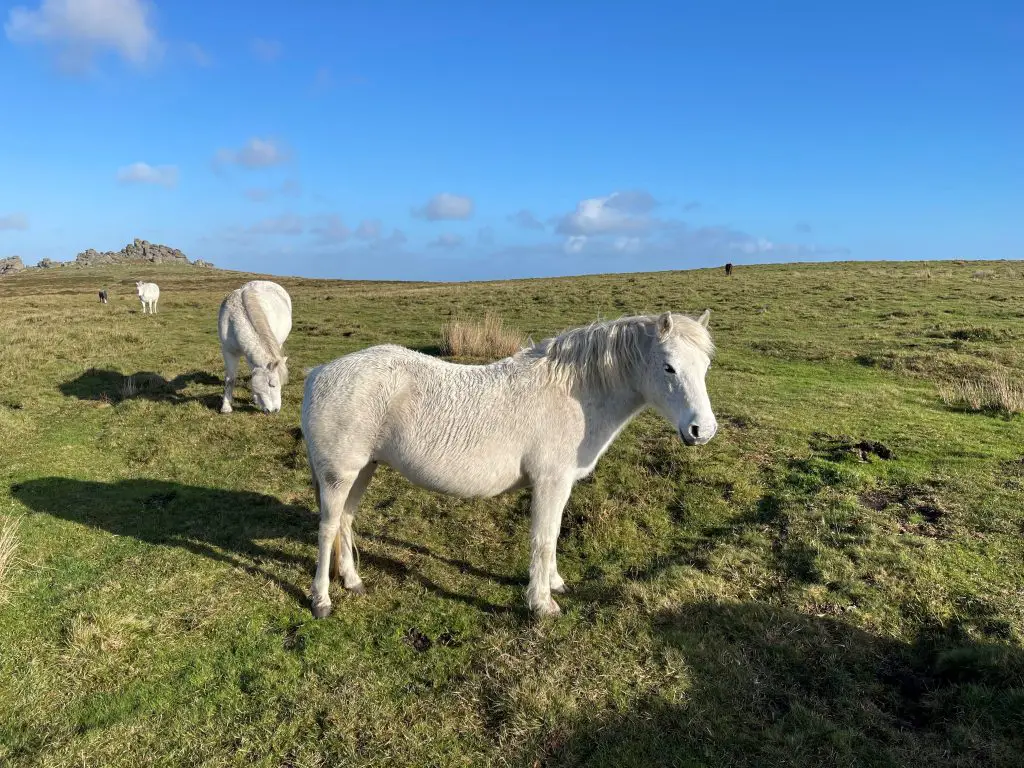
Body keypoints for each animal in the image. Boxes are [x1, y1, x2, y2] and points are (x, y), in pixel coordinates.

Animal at [301, 309, 720, 618]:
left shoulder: (560, 485)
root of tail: (318, 373)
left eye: (705, 367)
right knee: (327, 528)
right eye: (668, 367)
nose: (702, 430)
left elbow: (552, 536)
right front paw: (542, 603)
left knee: (346, 521)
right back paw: (321, 600)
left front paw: (554, 582)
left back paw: (352, 580)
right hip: (338, 476)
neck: (574, 394)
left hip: (363, 469)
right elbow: (543, 538)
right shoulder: (550, 482)